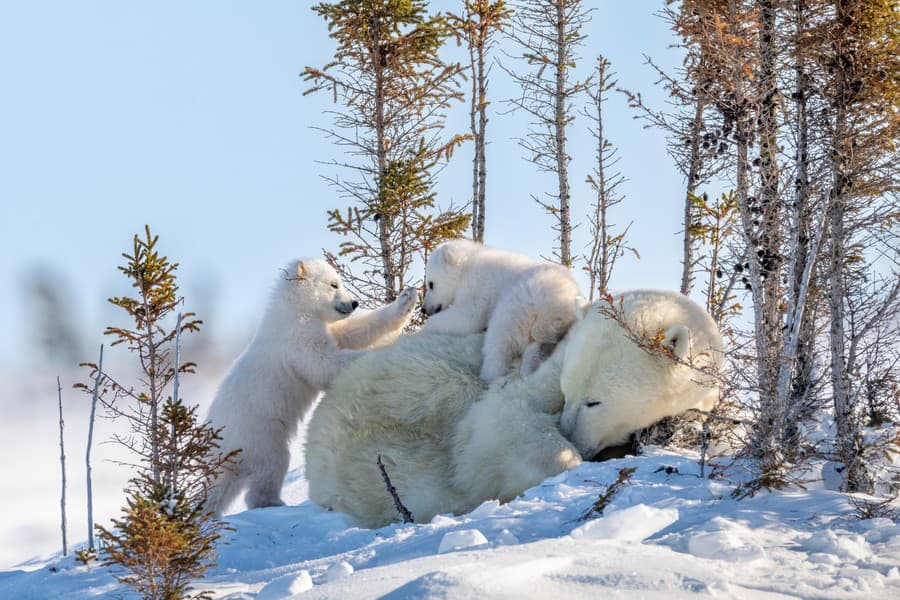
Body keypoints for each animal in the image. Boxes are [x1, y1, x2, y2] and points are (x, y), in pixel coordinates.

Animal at [206, 258, 416, 516]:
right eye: (334, 284)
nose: (354, 302)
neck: (292, 311)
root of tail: (222, 448)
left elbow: (352, 332)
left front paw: (406, 299)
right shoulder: (296, 339)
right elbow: (324, 364)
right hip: (260, 433)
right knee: (271, 466)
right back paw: (274, 502)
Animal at [306, 288, 728, 528]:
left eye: (594, 400)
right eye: (568, 392)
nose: (571, 433)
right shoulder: (538, 371)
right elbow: (500, 419)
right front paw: (567, 459)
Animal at [420, 238, 576, 382]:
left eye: (431, 284)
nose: (424, 309)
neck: (467, 264)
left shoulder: (477, 285)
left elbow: (468, 318)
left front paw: (427, 325)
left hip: (518, 301)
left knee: (499, 341)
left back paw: (487, 376)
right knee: (536, 343)